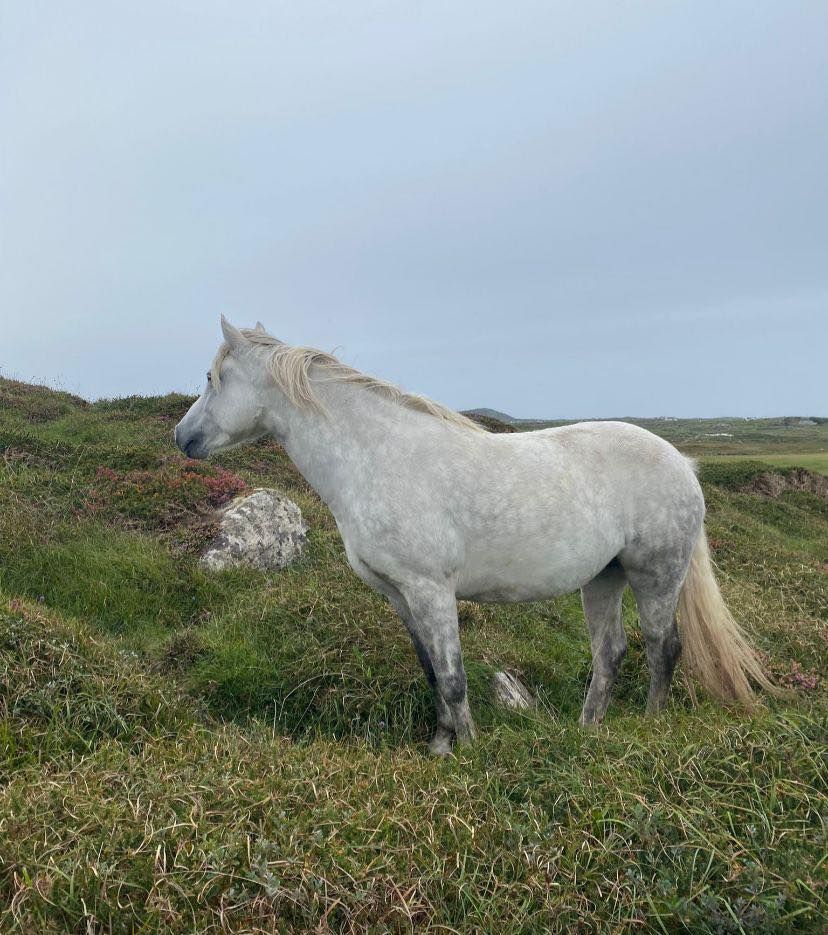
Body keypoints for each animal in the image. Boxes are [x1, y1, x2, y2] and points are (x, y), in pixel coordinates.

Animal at [174, 317, 776, 754]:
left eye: (211, 377)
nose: (183, 437)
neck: (377, 455)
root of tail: (683, 463)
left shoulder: (432, 589)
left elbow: (454, 676)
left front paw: (467, 751)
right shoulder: (400, 594)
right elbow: (431, 671)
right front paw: (440, 745)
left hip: (656, 575)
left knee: (662, 647)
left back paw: (651, 725)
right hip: (603, 579)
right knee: (610, 652)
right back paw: (587, 732)